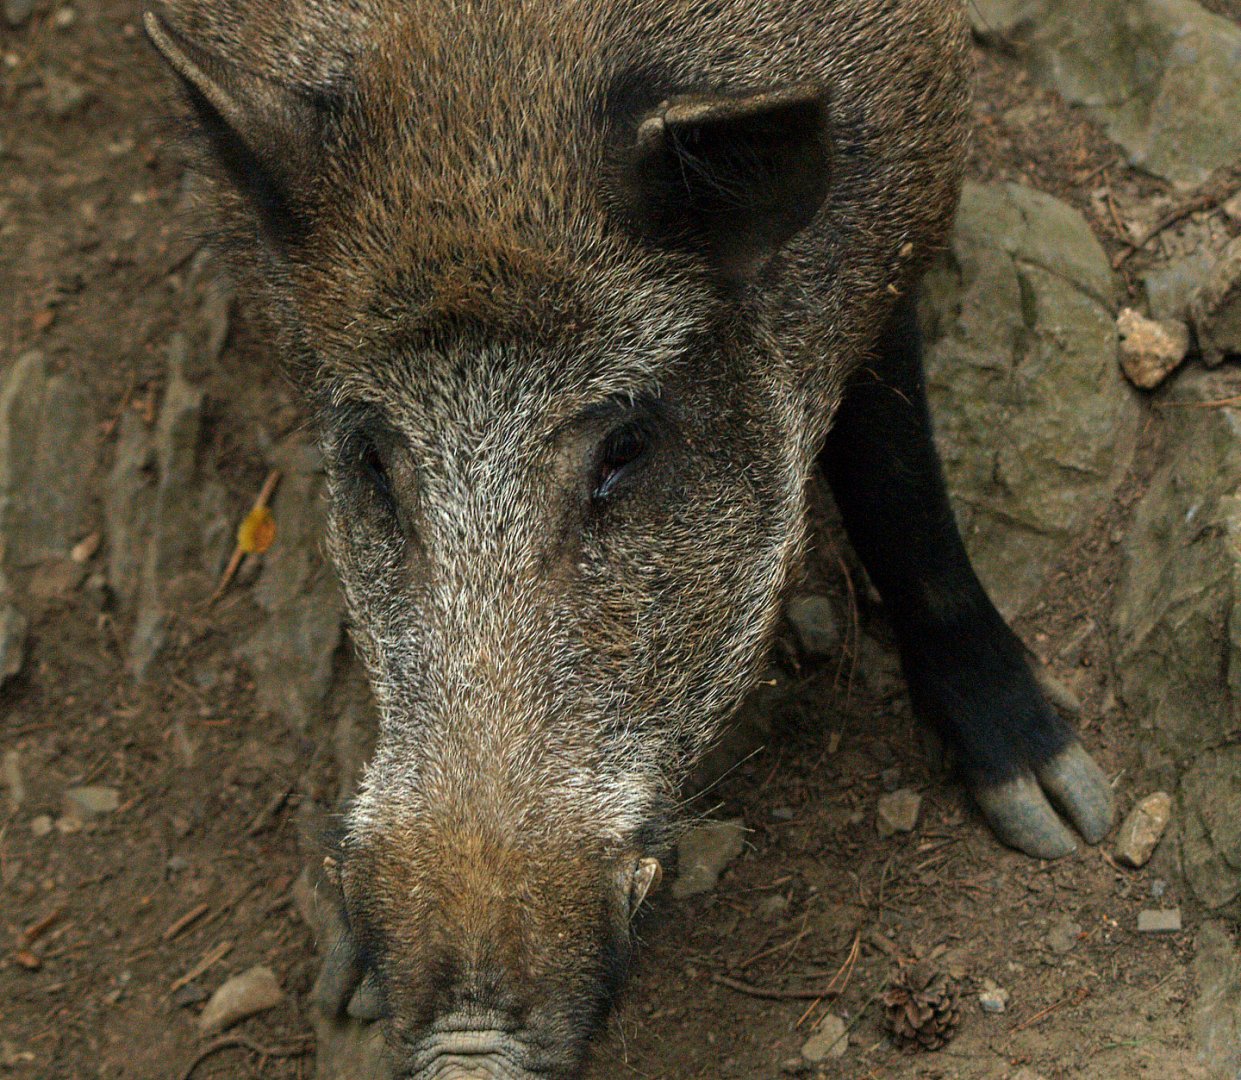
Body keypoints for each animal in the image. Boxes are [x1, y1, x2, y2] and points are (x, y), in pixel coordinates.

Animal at [145, 0, 1115, 1075]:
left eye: (622, 448)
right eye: (372, 462)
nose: (465, 1048)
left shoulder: (901, 225)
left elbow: (899, 489)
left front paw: (1061, 814)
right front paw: (350, 990)